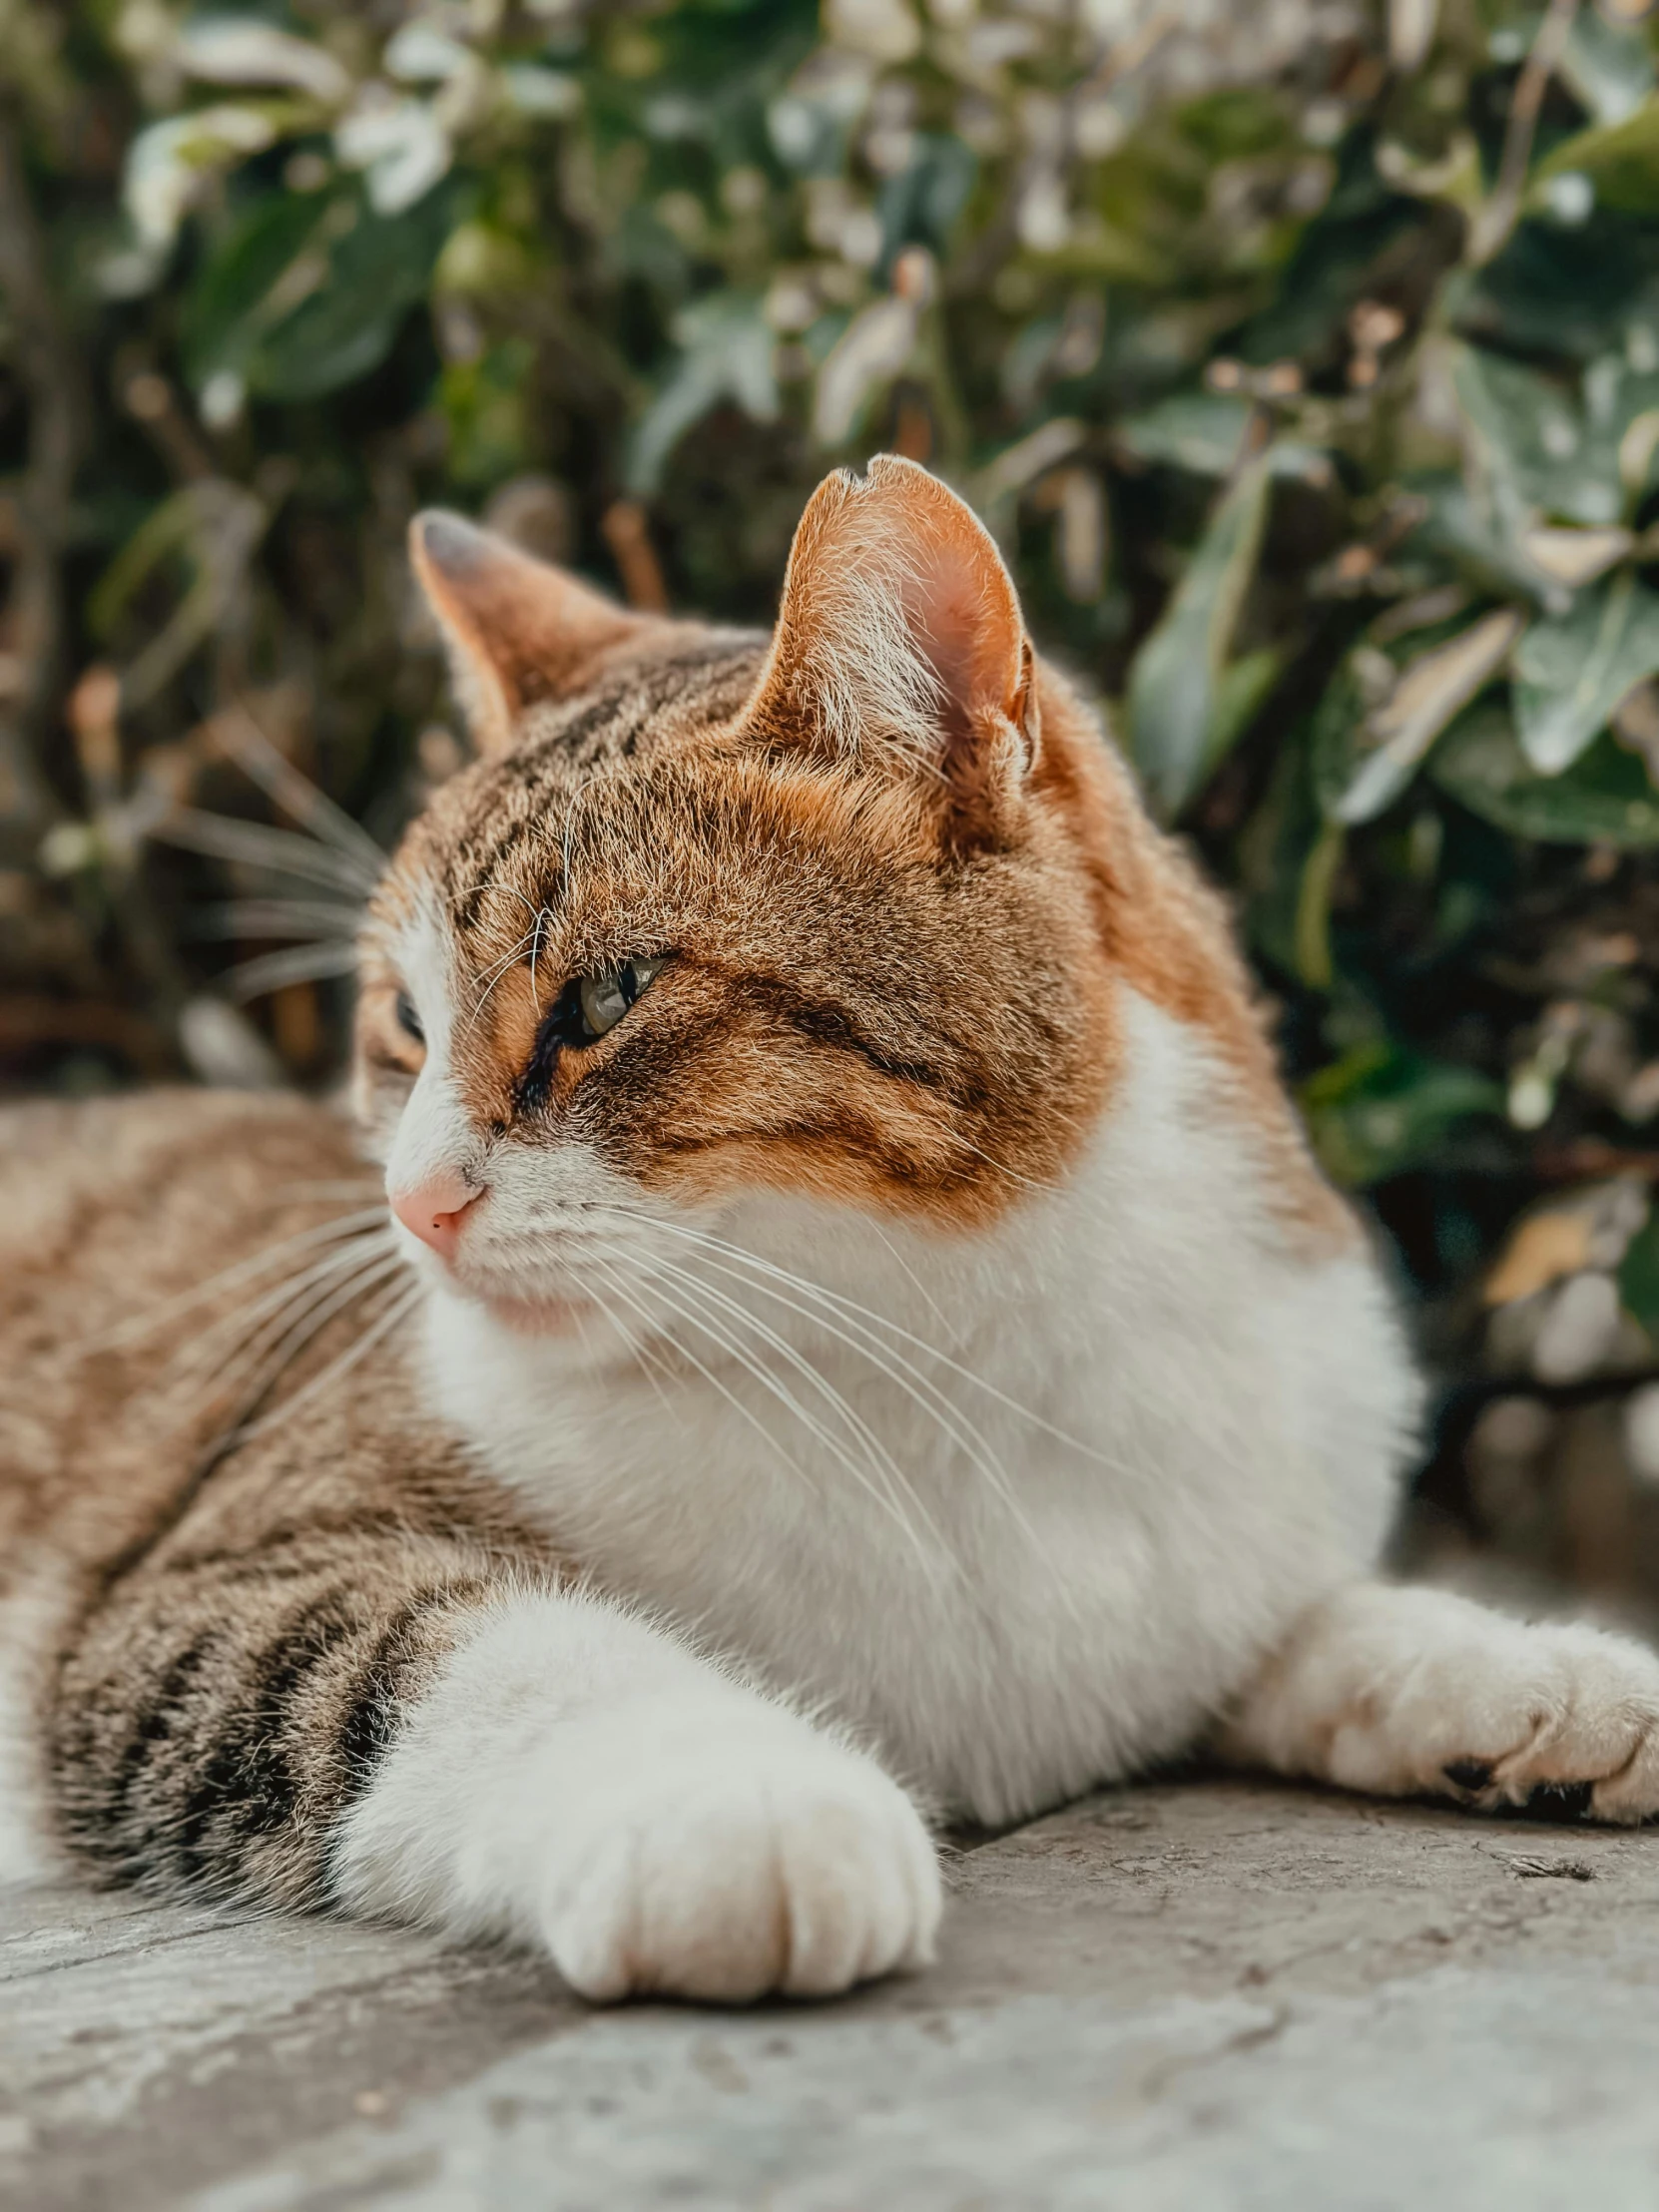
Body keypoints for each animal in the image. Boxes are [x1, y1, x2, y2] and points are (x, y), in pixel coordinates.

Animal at [3, 453, 1659, 2008]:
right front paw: (735, 1803)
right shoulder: (210, 1586)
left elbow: (1302, 1620)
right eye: (403, 1026)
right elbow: (465, 1647)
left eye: (603, 998)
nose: (415, 1204)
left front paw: (1530, 1670)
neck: (946, 1364)